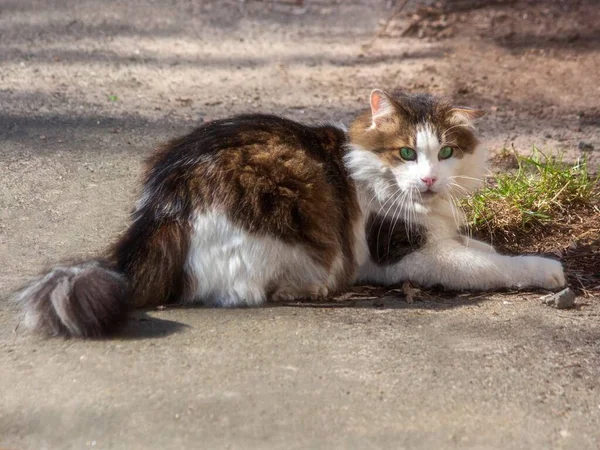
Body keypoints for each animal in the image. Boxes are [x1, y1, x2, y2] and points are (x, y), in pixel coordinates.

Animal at [15, 89, 568, 336]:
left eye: (447, 153)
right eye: (407, 153)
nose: (429, 179)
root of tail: (161, 206)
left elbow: (476, 245)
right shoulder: (403, 254)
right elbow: (490, 265)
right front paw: (547, 268)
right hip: (278, 224)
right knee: (237, 291)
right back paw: (311, 288)